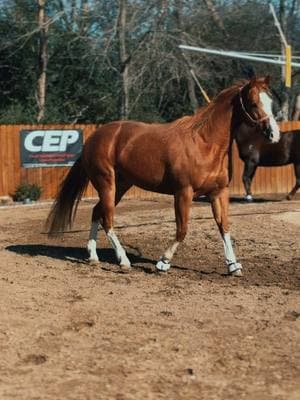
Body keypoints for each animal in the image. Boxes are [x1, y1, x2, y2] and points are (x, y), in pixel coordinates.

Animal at [46, 76, 278, 276]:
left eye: (270, 101)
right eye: (253, 103)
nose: (274, 134)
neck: (204, 143)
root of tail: (94, 138)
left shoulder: (218, 192)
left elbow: (224, 227)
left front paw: (233, 266)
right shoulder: (183, 192)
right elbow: (182, 229)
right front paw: (163, 262)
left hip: (120, 185)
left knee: (97, 212)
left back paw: (93, 257)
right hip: (106, 183)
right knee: (108, 220)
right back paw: (123, 261)